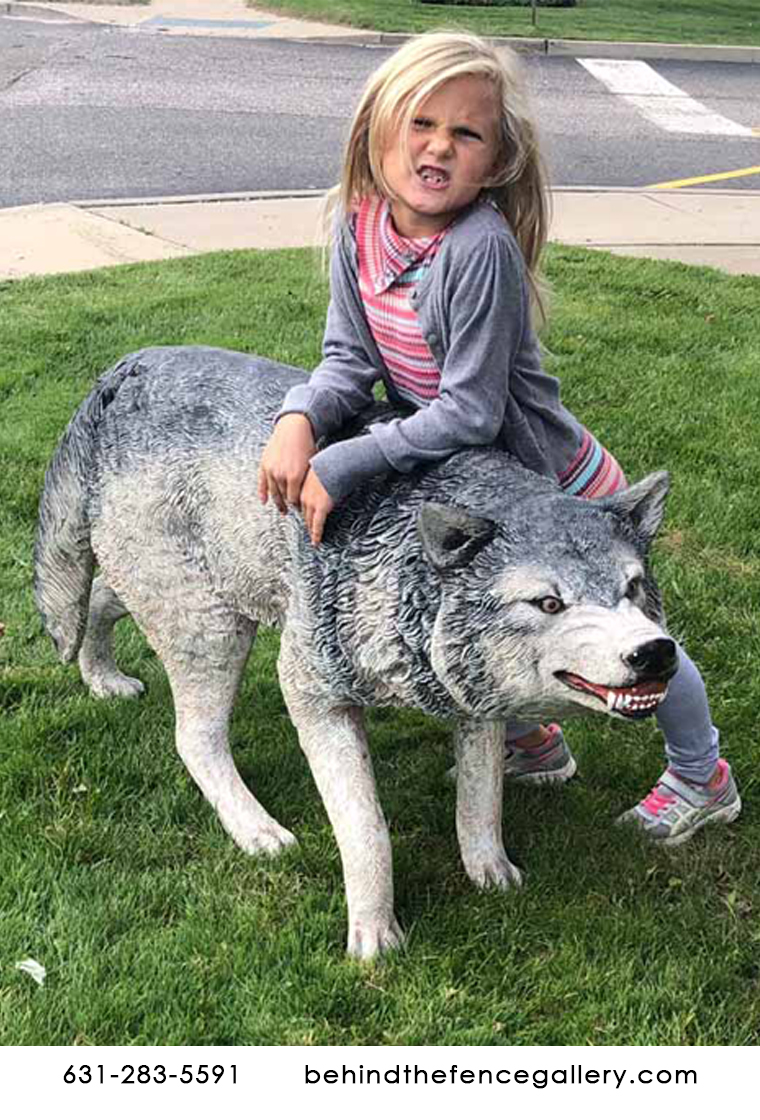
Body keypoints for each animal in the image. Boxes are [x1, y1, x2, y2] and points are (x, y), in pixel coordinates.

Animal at [35, 346, 678, 959]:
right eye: (548, 603)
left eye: (633, 587)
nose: (655, 652)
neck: (407, 568)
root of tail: (123, 372)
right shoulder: (312, 687)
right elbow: (367, 829)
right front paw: (373, 935)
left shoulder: (473, 701)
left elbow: (481, 798)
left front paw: (491, 871)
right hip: (211, 626)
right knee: (193, 736)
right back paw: (255, 829)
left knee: (99, 596)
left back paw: (101, 676)